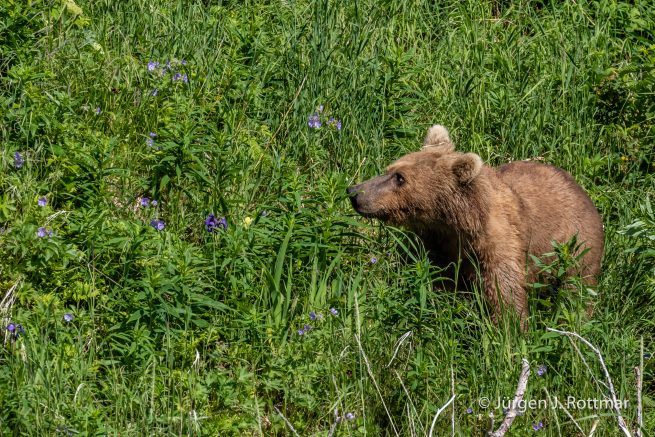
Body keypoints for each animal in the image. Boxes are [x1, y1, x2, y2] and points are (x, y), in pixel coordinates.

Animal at [347, 124, 604, 329]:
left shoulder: (499, 242)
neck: (457, 223)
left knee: (578, 289)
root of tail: (581, 190)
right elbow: (437, 276)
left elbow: (505, 290)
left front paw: (509, 329)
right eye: (390, 169)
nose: (354, 192)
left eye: (400, 178)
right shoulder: (438, 243)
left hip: (577, 245)